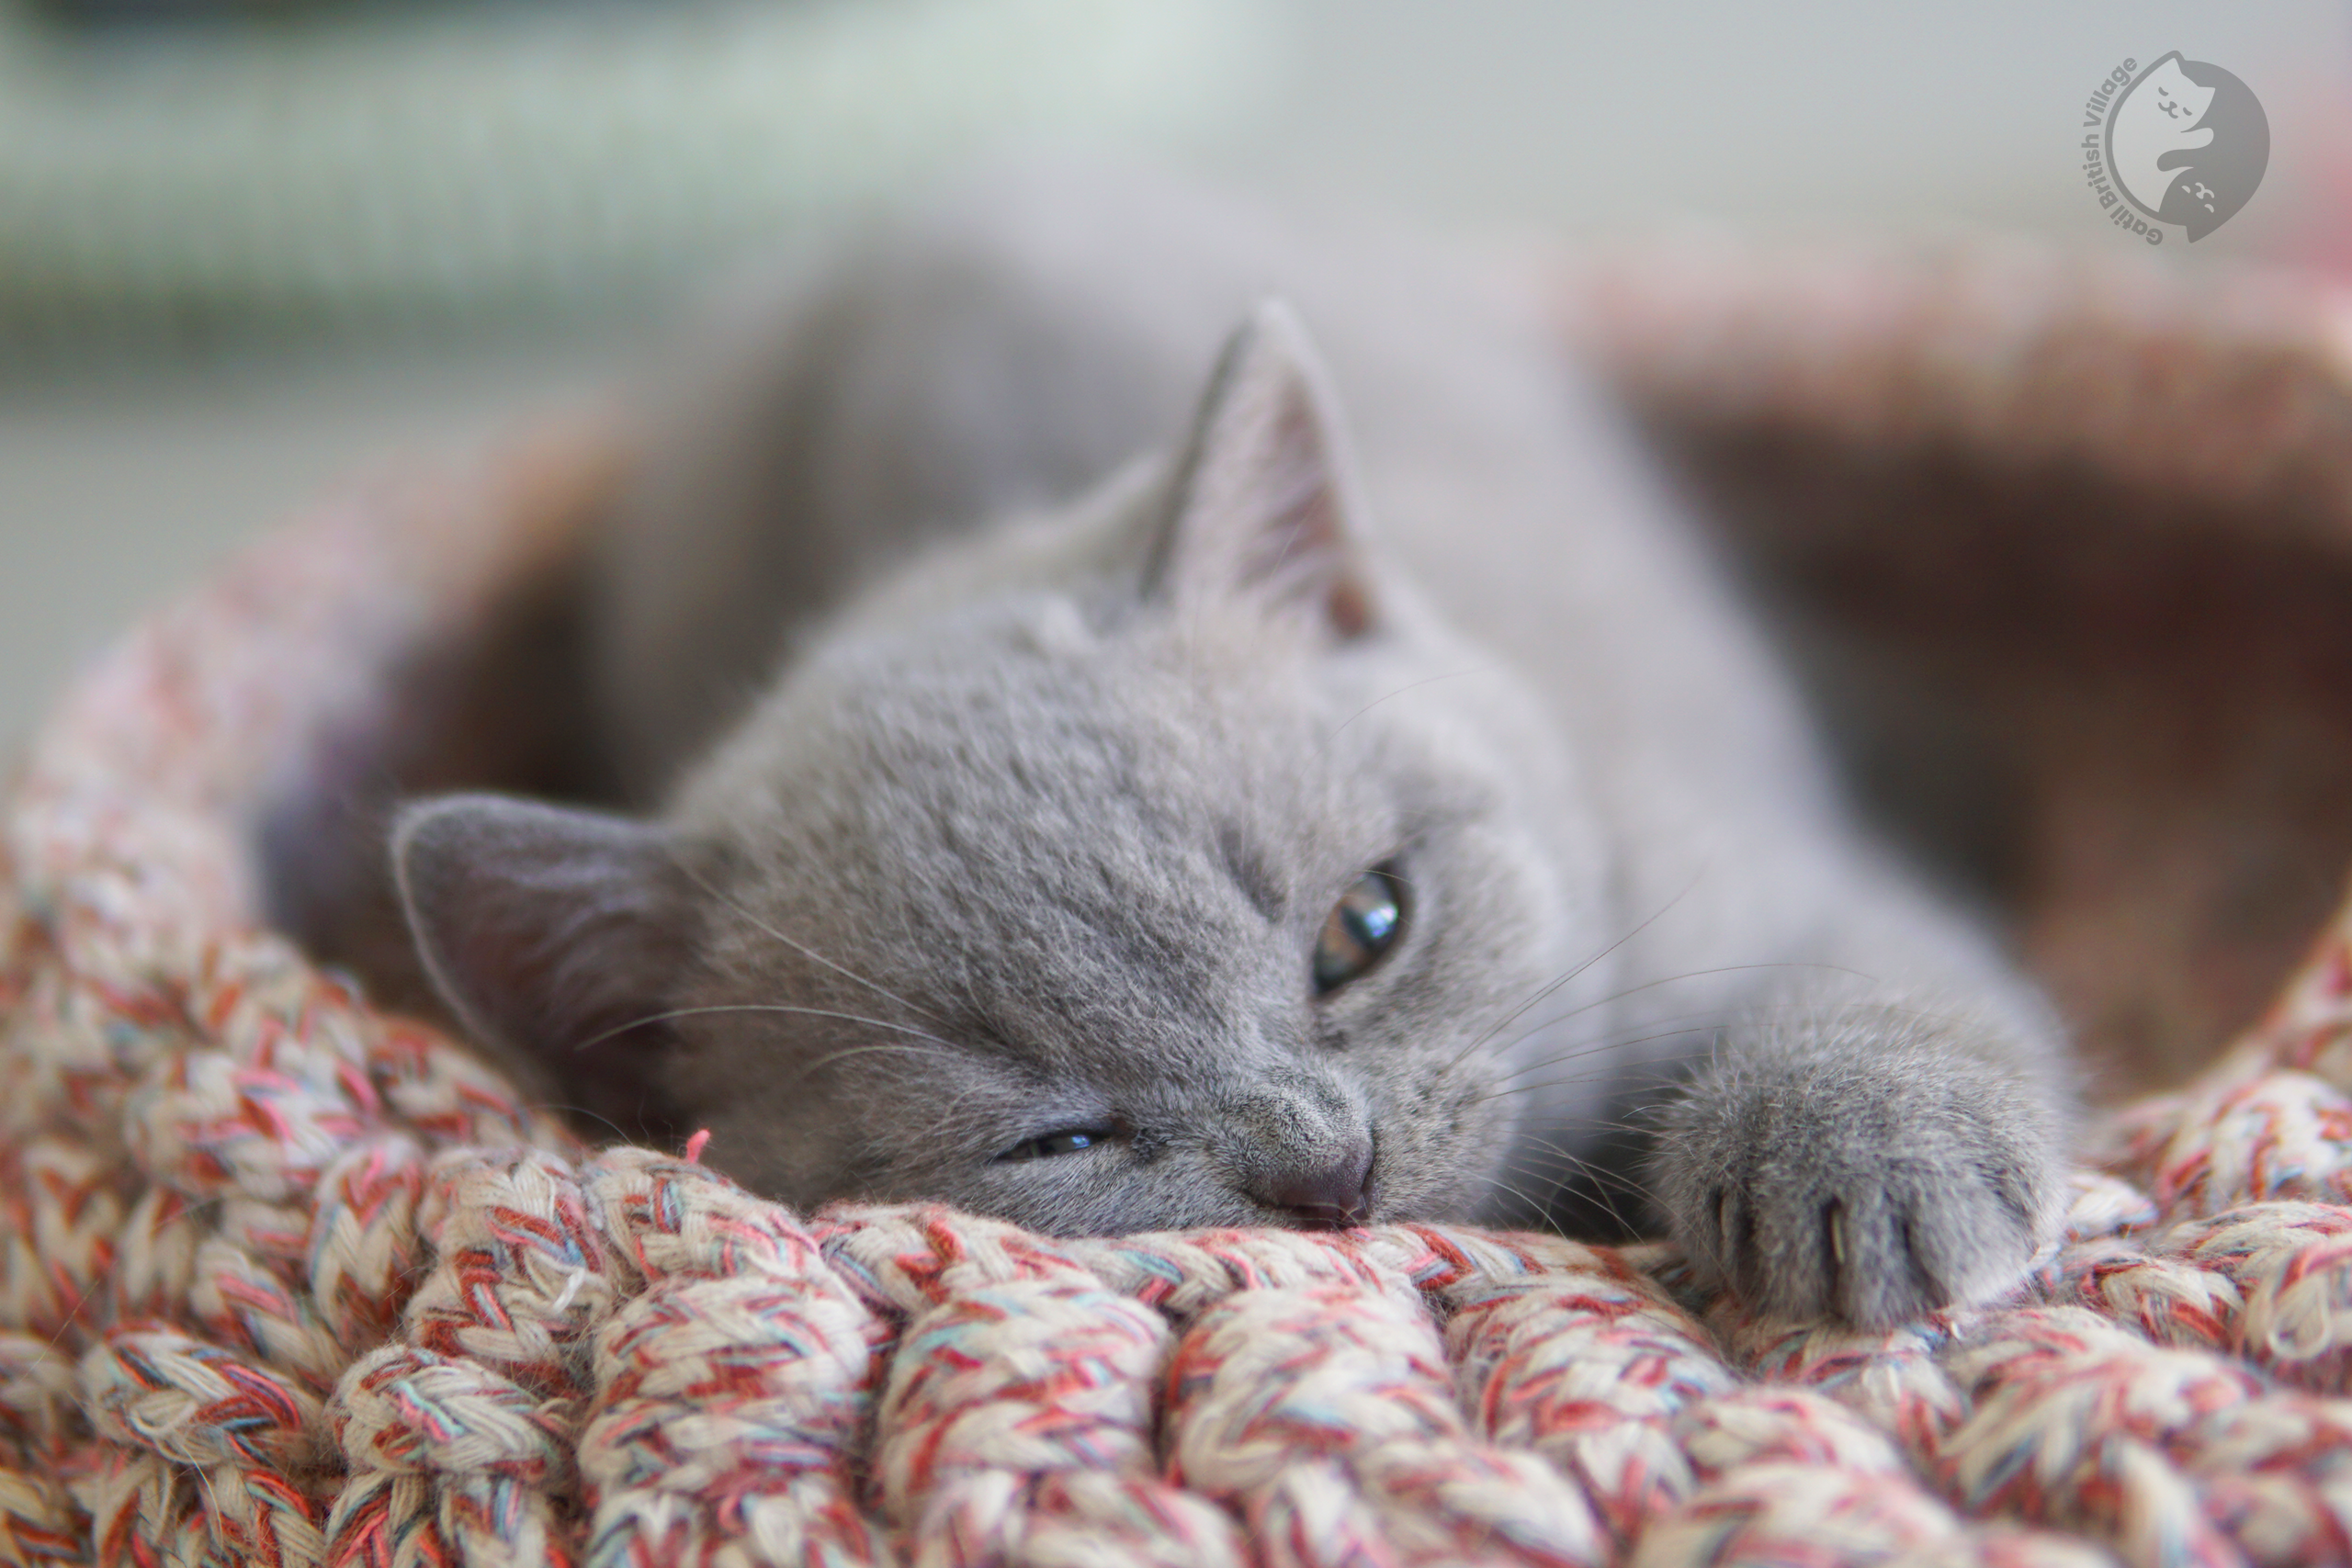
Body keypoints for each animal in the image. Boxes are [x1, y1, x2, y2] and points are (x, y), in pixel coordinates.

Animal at [395, 165, 2069, 1335]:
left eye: (1364, 927)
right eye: (1062, 1135)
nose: (1325, 1165)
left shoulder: (1742, 861)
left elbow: (1877, 974)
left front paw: (1865, 1168)